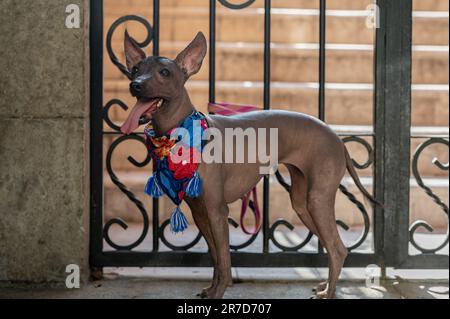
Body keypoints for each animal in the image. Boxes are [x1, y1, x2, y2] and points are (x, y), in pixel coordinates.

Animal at [119, 31, 380, 298]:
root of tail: (337, 137)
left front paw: (219, 292)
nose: (135, 84)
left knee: (338, 247)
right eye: (136, 69)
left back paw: (329, 292)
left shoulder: (217, 211)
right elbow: (216, 257)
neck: (179, 133)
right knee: (332, 245)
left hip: (317, 199)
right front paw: (211, 289)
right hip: (303, 204)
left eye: (164, 72)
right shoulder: (201, 213)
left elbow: (224, 261)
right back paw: (326, 285)